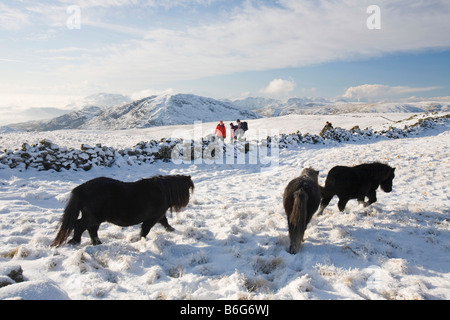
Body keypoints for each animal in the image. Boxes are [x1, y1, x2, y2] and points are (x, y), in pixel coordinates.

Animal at [51, 175, 194, 248]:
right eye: (189, 188)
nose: (187, 201)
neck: (162, 191)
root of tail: (82, 188)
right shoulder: (151, 218)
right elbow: (145, 230)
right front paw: (140, 241)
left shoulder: (158, 216)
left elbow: (165, 221)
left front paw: (171, 229)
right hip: (93, 217)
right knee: (79, 226)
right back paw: (75, 241)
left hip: (96, 218)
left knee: (92, 230)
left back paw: (97, 243)